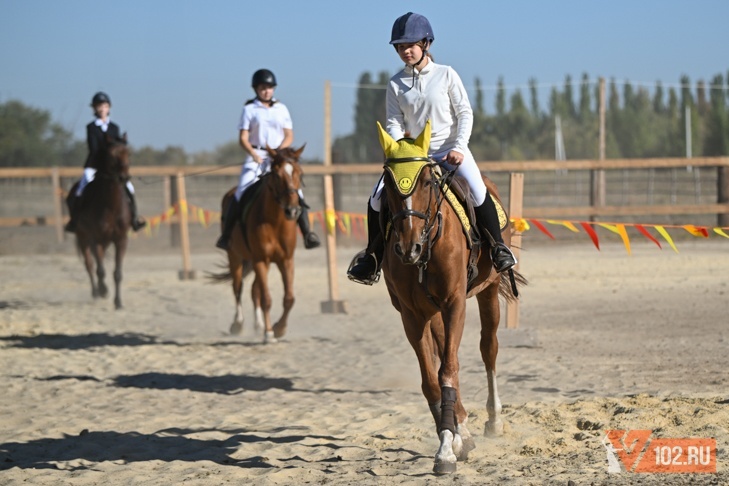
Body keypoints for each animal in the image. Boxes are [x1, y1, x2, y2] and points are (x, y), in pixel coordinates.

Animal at [72, 134, 134, 308]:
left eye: (128, 153)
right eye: (112, 155)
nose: (123, 177)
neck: (111, 206)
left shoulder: (121, 240)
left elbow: (117, 273)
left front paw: (118, 302)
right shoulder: (95, 239)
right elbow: (100, 269)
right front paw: (104, 290)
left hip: (104, 241)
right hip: (83, 238)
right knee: (90, 265)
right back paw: (96, 291)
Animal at [215, 144, 308, 342]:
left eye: (299, 173)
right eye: (276, 175)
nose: (293, 210)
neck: (275, 221)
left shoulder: (286, 260)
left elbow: (289, 298)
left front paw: (279, 328)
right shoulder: (260, 260)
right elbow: (267, 298)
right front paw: (269, 333)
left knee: (253, 290)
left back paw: (258, 325)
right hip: (235, 257)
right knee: (238, 287)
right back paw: (238, 324)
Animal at [376, 121, 524, 474]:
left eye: (427, 182)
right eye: (389, 183)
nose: (409, 247)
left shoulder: (455, 303)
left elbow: (449, 371)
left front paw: (447, 449)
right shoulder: (412, 315)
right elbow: (433, 379)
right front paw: (452, 441)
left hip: (486, 294)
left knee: (488, 349)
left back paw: (493, 421)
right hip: (433, 312)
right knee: (445, 353)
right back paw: (463, 430)